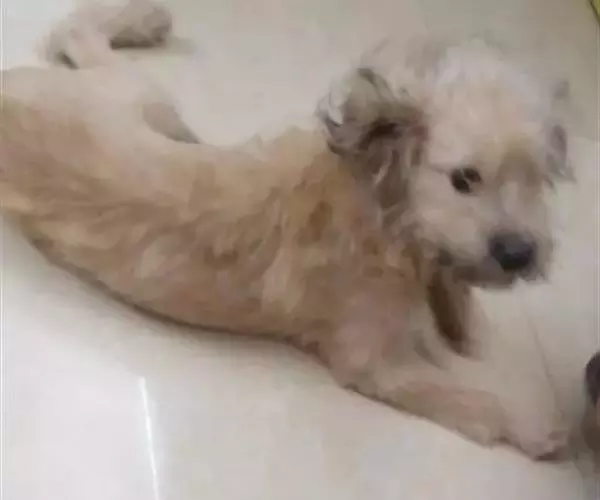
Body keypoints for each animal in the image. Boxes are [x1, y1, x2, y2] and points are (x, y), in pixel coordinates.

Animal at [0, 0, 571, 458]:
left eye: (537, 176)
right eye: (464, 177)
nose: (520, 254)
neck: (379, 200)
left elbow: (454, 287)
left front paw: (467, 324)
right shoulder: (377, 363)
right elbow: (471, 396)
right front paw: (532, 423)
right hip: (140, 97)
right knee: (76, 33)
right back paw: (142, 19)